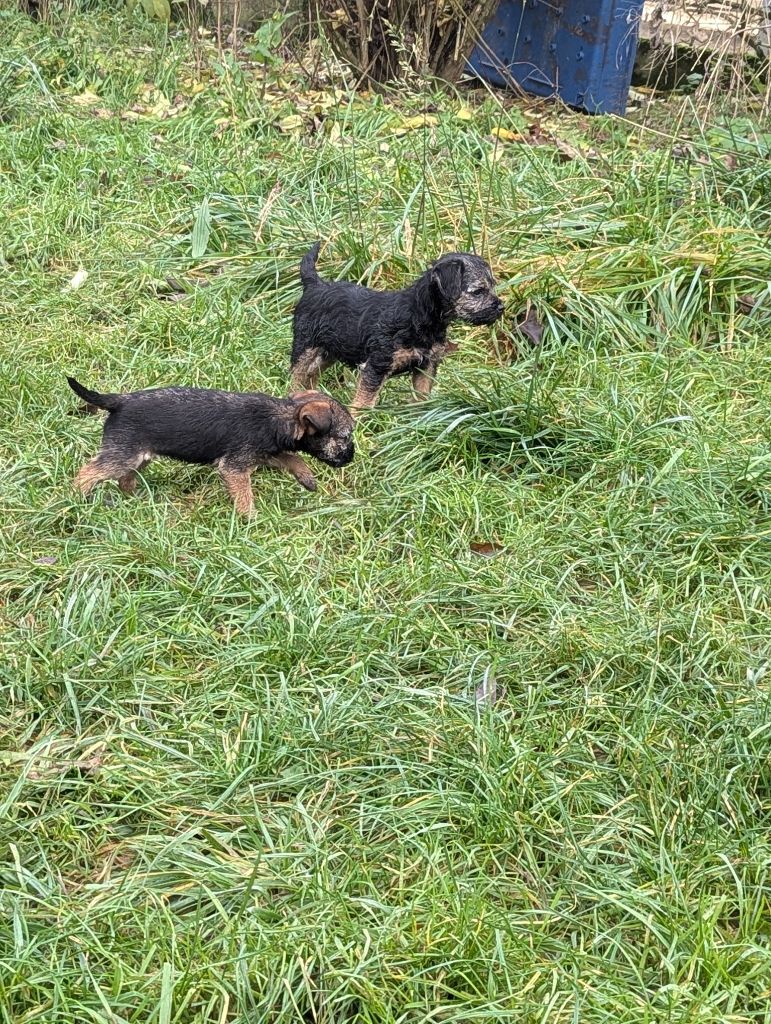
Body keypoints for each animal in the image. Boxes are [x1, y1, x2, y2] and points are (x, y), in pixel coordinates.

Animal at [66, 378, 354, 516]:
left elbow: (293, 459)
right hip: (123, 456)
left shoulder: (263, 454)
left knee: (125, 480)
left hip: (138, 456)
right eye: (345, 437)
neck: (279, 419)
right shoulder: (235, 467)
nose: (351, 458)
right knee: (88, 472)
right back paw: (78, 499)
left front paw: (307, 478)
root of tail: (119, 401)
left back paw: (136, 500)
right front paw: (251, 520)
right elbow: (244, 496)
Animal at [290, 243, 505, 411]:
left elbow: (421, 396)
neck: (419, 316)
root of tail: (315, 284)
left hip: (332, 349)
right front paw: (358, 424)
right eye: (478, 291)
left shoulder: (427, 365)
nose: (501, 307)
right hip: (305, 345)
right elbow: (364, 400)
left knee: (312, 372)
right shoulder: (377, 365)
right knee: (297, 375)